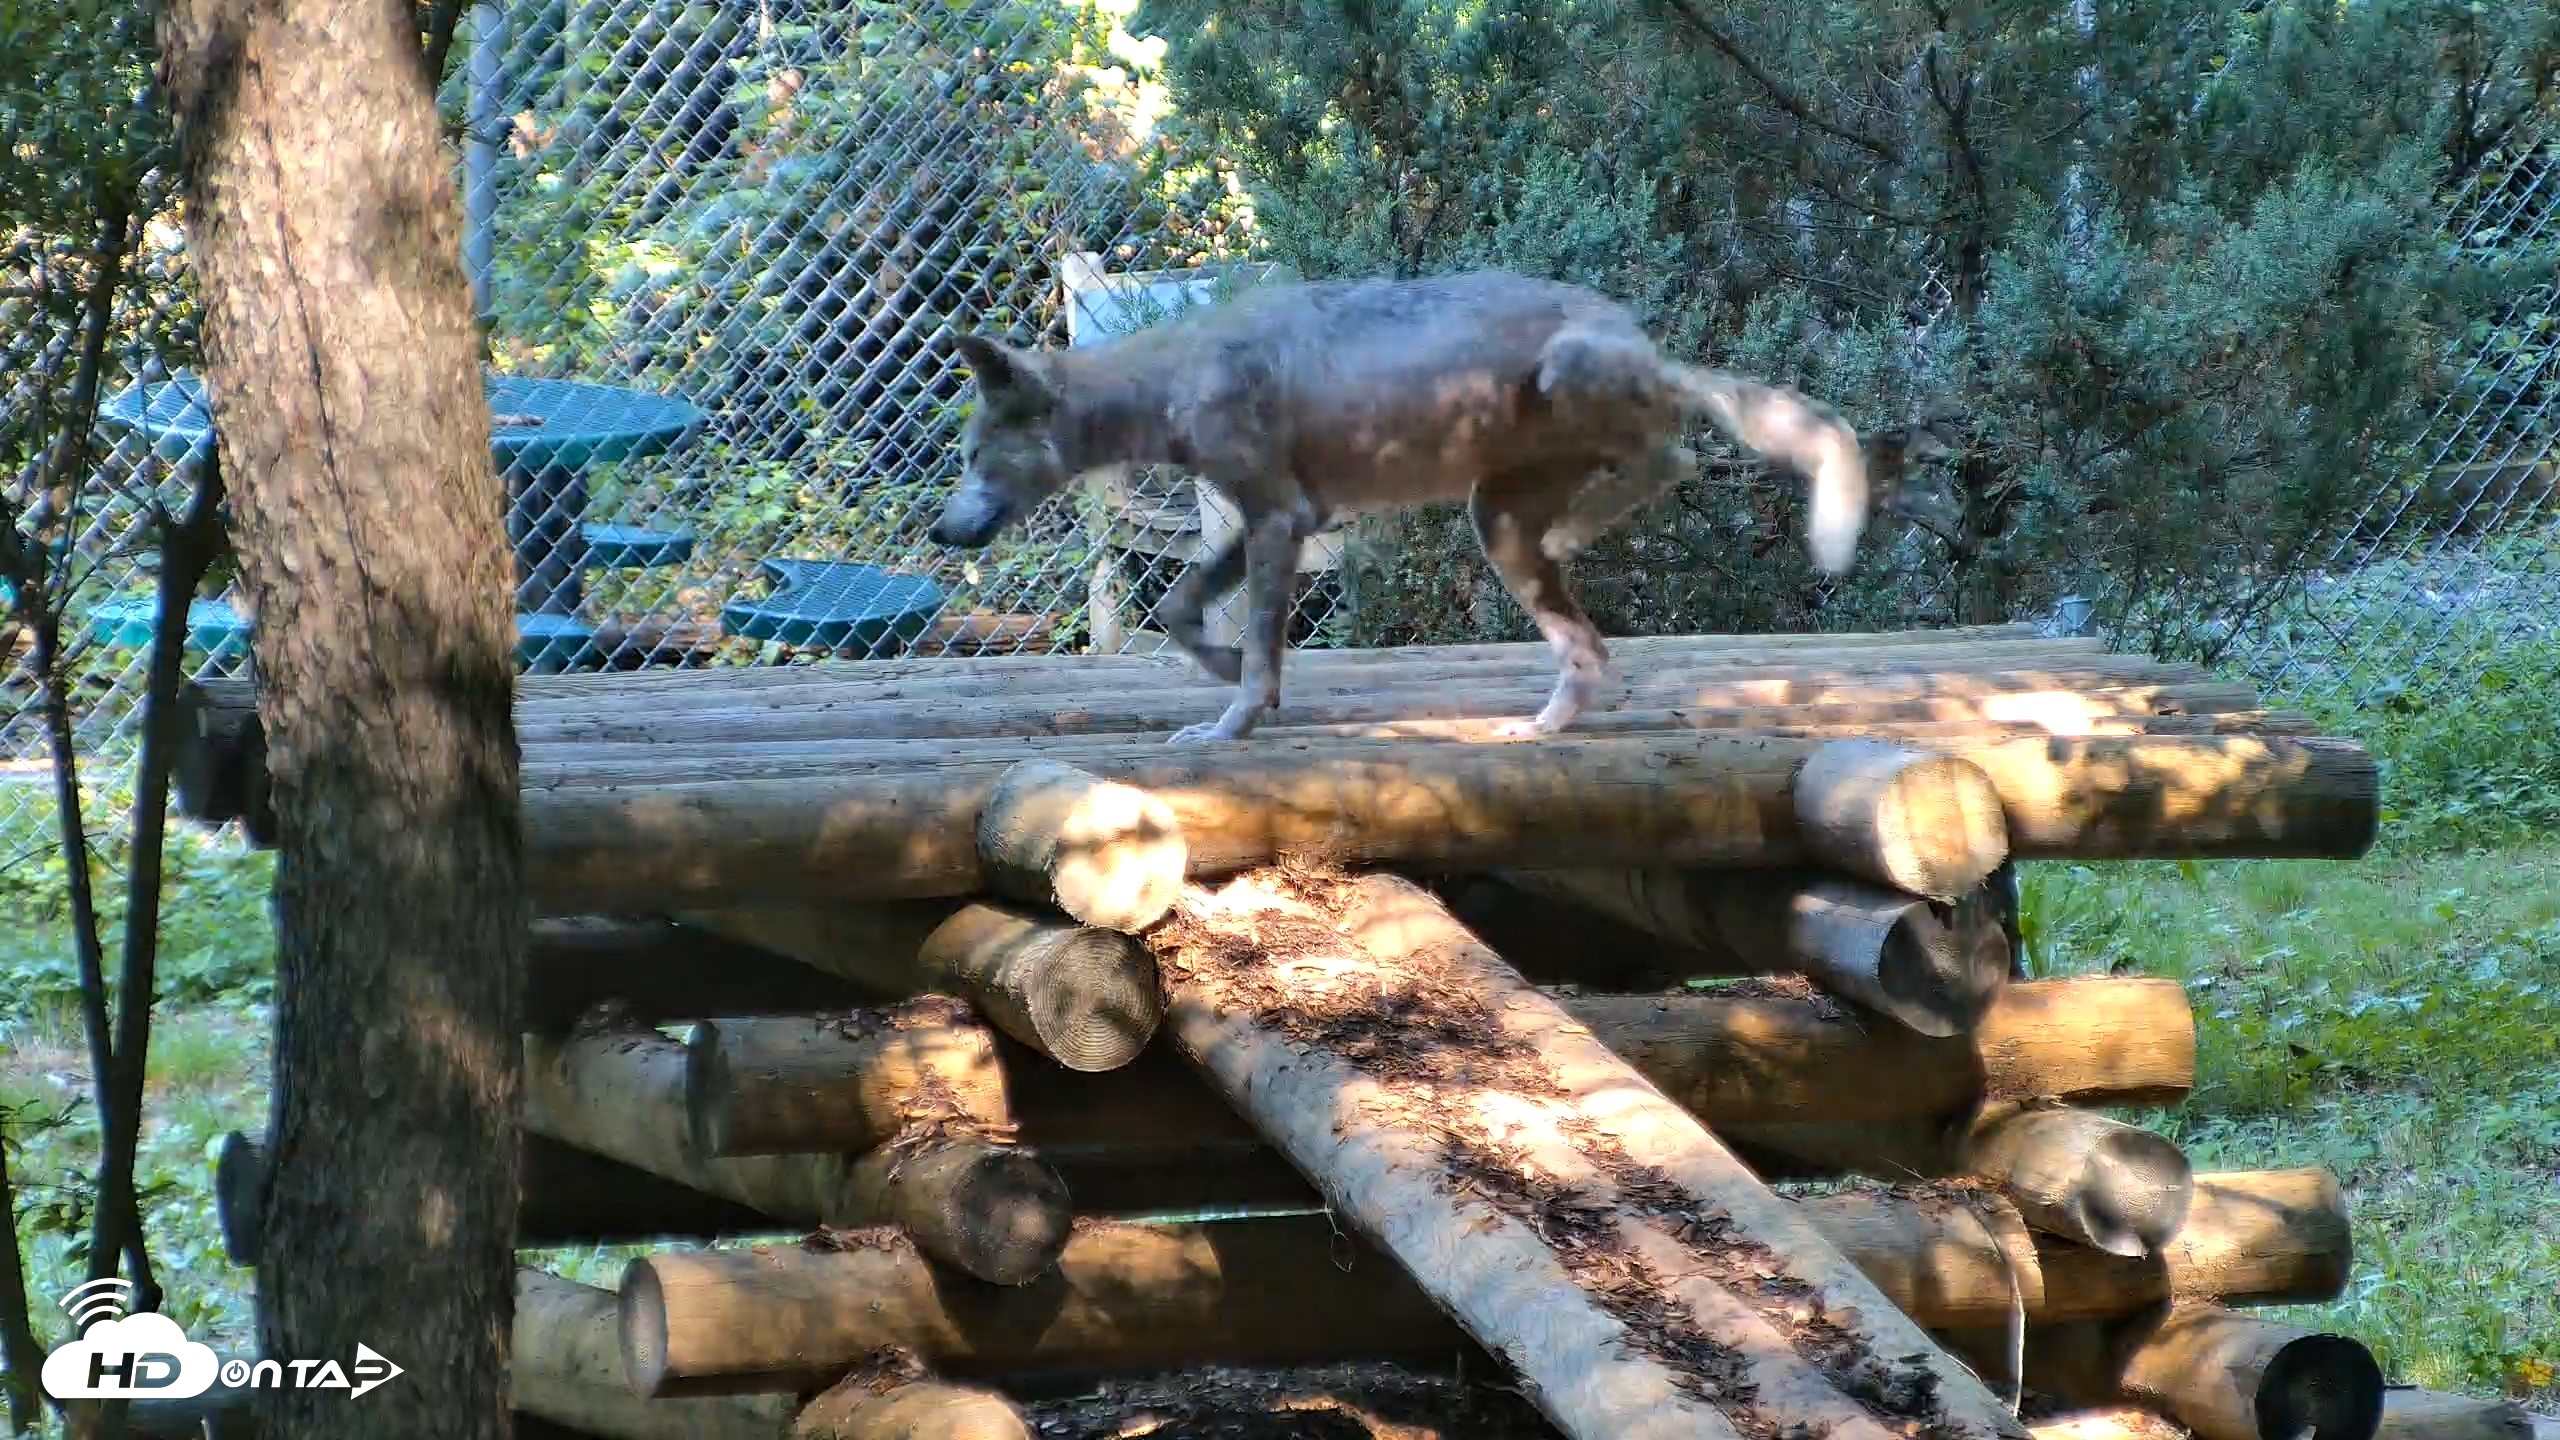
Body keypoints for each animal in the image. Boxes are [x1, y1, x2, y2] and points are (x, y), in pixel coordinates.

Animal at [929, 269, 1875, 746]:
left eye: (972, 458)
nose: (940, 530)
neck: (1170, 380)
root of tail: (1648, 344)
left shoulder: (1277, 522)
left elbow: (1256, 649)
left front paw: (1232, 720)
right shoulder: (1283, 522)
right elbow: (1180, 609)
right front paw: (1227, 674)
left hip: (1561, 404)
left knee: (1676, 457)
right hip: (1501, 527)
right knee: (1593, 650)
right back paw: (1539, 728)